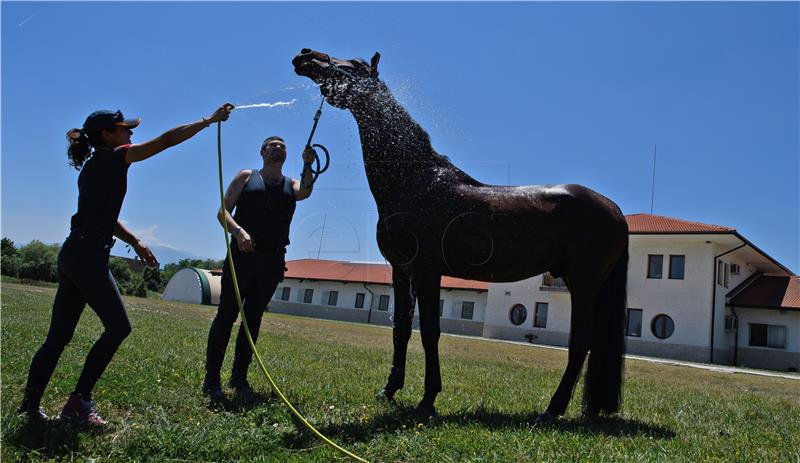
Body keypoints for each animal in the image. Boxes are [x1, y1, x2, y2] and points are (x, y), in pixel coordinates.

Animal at [294, 49, 632, 422]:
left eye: (353, 65)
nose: (306, 56)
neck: (414, 181)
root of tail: (615, 210)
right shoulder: (402, 271)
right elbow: (400, 329)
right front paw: (389, 389)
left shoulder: (427, 271)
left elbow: (430, 331)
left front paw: (428, 399)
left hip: (583, 283)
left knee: (580, 343)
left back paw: (551, 410)